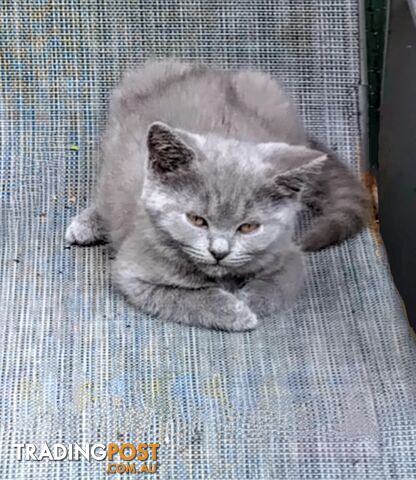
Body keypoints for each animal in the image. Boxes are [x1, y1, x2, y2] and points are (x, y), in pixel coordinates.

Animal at [66, 59, 370, 330]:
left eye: (248, 227)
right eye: (197, 220)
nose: (219, 252)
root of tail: (212, 71)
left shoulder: (289, 256)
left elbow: (277, 286)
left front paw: (250, 300)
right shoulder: (134, 271)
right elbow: (185, 297)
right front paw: (236, 312)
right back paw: (87, 224)